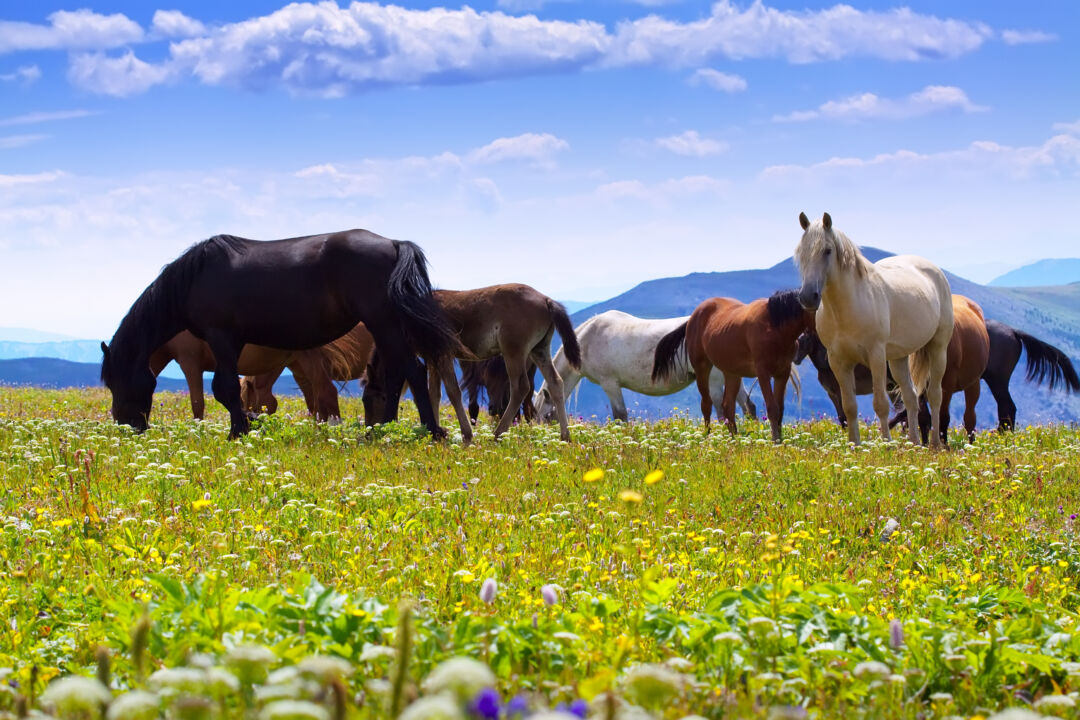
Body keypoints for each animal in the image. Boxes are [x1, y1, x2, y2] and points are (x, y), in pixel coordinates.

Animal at [531, 310, 760, 423]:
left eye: (545, 417)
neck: (587, 340)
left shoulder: (610, 384)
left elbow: (621, 416)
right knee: (748, 407)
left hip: (714, 381)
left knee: (723, 411)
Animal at [648, 289, 812, 442]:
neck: (774, 326)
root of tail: (692, 318)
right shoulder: (763, 372)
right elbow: (772, 408)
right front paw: (776, 441)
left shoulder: (782, 373)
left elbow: (780, 409)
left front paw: (780, 440)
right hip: (702, 368)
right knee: (707, 404)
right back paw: (708, 437)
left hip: (731, 372)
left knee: (728, 406)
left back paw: (734, 439)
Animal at [794, 211, 954, 446]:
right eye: (800, 252)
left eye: (827, 250)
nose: (808, 297)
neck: (846, 309)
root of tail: (934, 271)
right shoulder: (838, 361)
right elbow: (849, 407)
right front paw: (854, 446)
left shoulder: (876, 355)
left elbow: (880, 405)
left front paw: (886, 445)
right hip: (898, 358)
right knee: (911, 397)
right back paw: (914, 444)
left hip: (938, 348)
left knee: (934, 395)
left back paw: (934, 444)